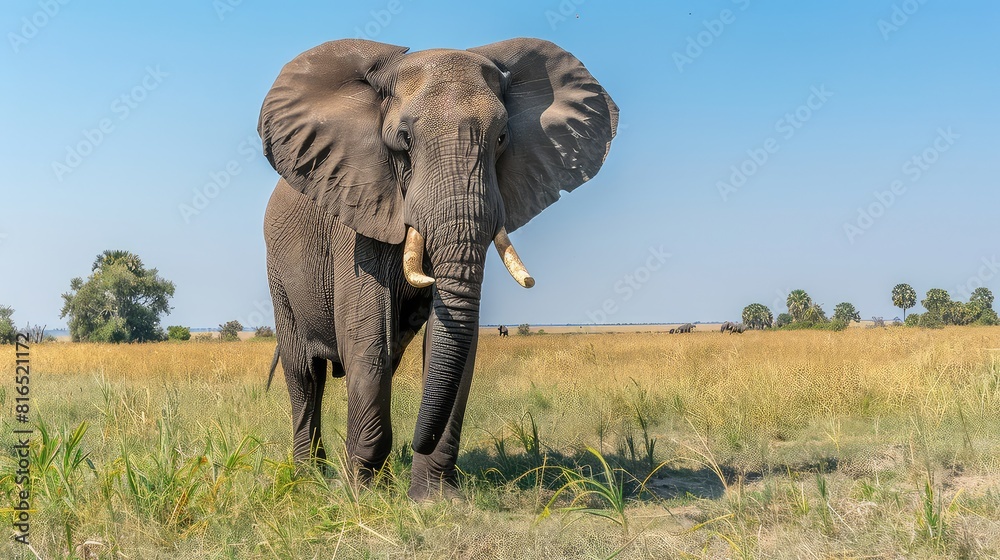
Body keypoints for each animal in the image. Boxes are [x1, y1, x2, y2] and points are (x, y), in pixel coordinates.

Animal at [259, 38, 617, 501]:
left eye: (502, 138)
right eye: (404, 140)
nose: (416, 443)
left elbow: (452, 345)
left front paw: (432, 499)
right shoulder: (356, 210)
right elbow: (368, 339)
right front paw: (362, 496)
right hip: (277, 271)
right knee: (305, 375)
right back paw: (309, 481)